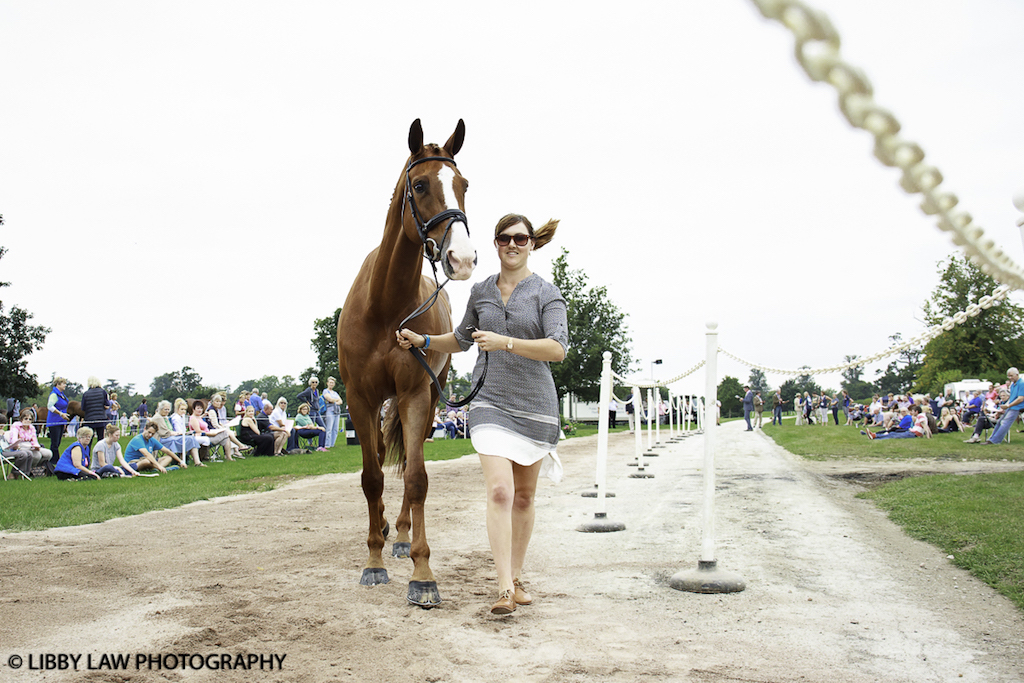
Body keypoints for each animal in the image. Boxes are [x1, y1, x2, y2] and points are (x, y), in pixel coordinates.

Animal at [337, 118, 477, 610]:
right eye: (420, 185)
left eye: (463, 185)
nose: (463, 258)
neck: (384, 307)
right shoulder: (359, 398)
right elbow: (372, 477)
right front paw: (373, 561)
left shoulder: (415, 394)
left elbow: (415, 478)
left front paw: (422, 572)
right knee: (381, 457)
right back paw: (382, 530)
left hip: (429, 399)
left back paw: (398, 535)